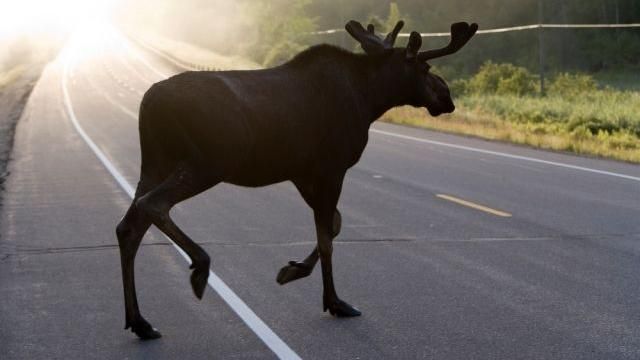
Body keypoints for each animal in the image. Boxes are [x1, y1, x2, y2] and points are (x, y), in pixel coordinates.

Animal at [115, 19, 478, 338]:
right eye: (425, 69)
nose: (447, 97)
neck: (370, 99)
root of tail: (149, 102)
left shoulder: (303, 173)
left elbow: (334, 224)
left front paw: (293, 270)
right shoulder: (331, 167)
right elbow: (327, 236)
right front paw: (334, 302)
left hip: (156, 163)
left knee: (128, 227)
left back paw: (140, 322)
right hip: (207, 162)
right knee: (152, 205)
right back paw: (199, 268)